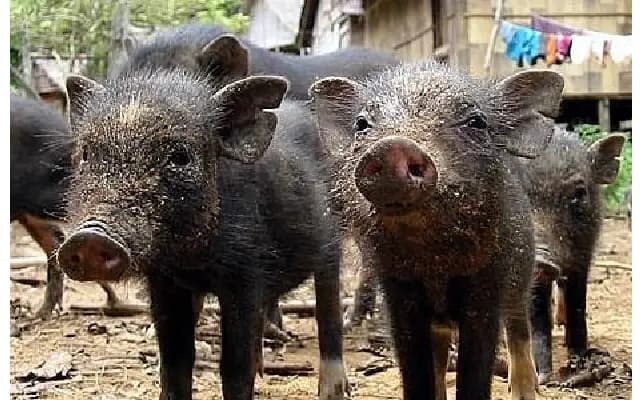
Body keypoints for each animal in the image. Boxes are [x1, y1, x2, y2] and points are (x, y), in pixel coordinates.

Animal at [56, 44, 347, 399]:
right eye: (86, 154)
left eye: (180, 157)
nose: (89, 237)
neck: (191, 261)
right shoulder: (165, 282)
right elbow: (175, 360)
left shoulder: (246, 274)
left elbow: (235, 367)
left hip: (332, 237)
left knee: (328, 303)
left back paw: (333, 390)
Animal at [309, 61, 564, 400]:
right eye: (362, 124)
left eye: (476, 121)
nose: (392, 147)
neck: (435, 263)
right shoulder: (399, 293)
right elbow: (417, 372)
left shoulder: (488, 285)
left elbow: (476, 370)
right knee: (441, 357)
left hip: (522, 273)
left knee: (518, 327)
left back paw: (526, 390)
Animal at [519, 128, 625, 384]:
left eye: (578, 194)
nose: (541, 259)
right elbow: (537, 312)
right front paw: (543, 377)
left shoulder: (584, 254)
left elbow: (578, 302)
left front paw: (578, 364)